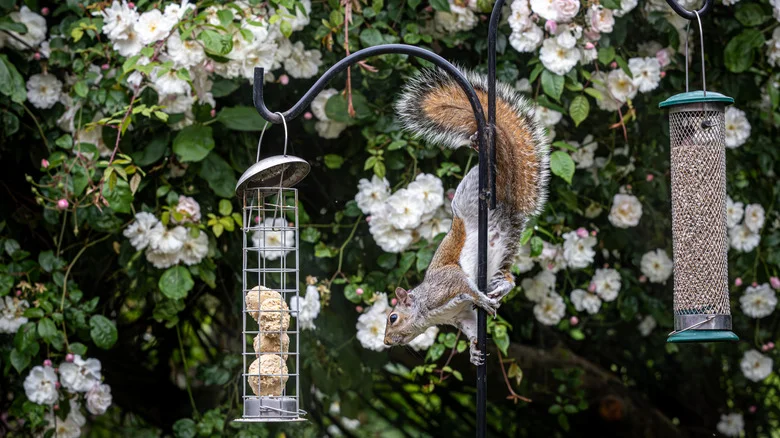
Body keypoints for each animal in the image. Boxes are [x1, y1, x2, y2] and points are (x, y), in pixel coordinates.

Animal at [382, 68, 550, 365]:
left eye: (393, 317)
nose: (386, 342)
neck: (427, 311)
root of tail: (509, 205)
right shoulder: (459, 315)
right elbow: (472, 326)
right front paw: (474, 351)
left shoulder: (448, 283)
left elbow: (467, 287)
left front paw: (481, 300)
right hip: (506, 248)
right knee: (509, 275)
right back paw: (501, 287)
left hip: (472, 191)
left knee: (498, 162)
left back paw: (484, 146)